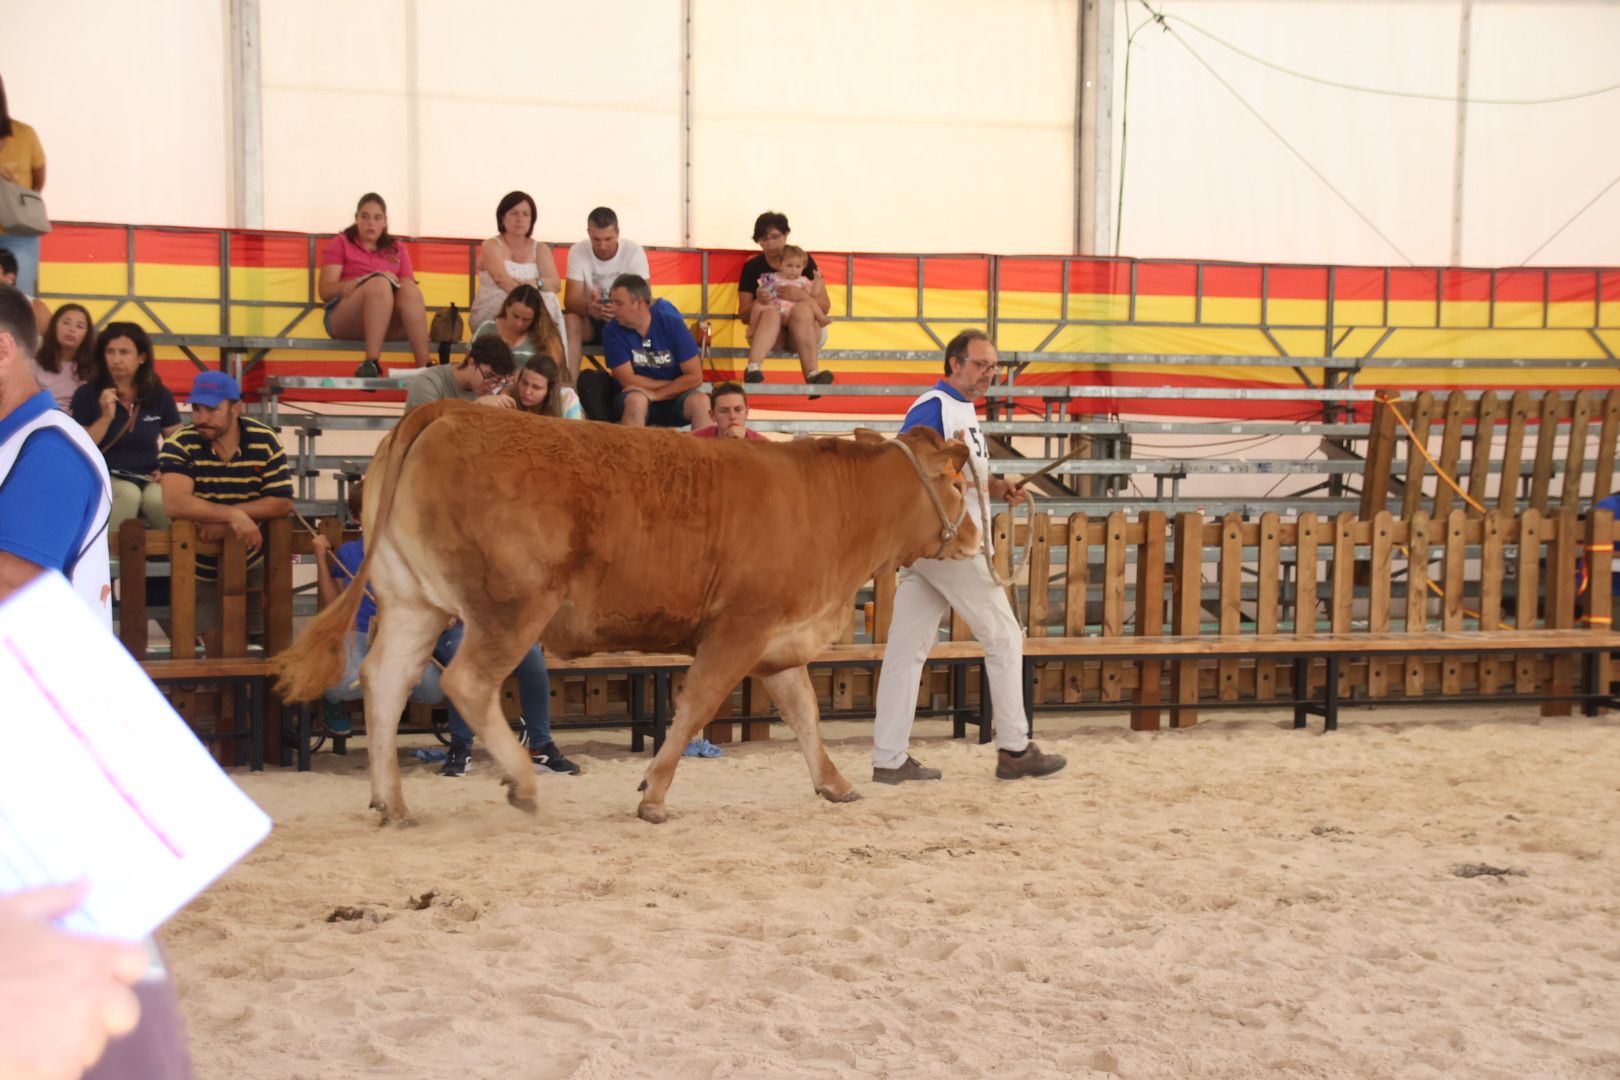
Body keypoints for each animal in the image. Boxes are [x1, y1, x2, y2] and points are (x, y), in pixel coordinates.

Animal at [273, 401, 972, 822]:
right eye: (960, 483)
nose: (971, 539)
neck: (826, 503)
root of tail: (451, 409)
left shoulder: (777, 641)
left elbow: (804, 713)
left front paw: (834, 783)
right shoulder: (739, 628)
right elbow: (695, 709)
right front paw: (654, 793)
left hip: (413, 602)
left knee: (384, 681)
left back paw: (391, 802)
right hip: (511, 606)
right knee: (465, 682)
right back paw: (522, 783)